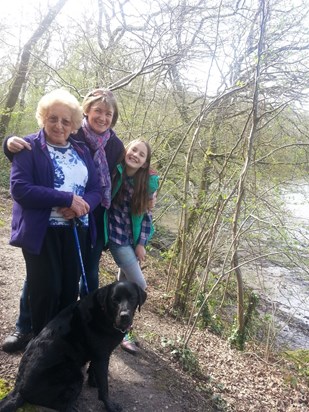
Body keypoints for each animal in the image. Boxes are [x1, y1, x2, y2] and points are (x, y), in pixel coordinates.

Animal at [0, 280, 146, 412]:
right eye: (114, 299)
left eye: (132, 298)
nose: (125, 316)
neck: (105, 313)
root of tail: (19, 390)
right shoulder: (102, 356)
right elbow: (104, 387)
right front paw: (109, 405)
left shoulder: (97, 355)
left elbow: (93, 370)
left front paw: (93, 383)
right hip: (74, 376)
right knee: (58, 405)